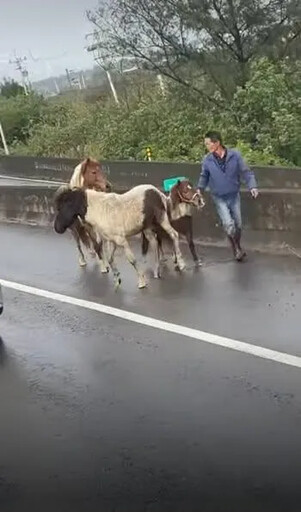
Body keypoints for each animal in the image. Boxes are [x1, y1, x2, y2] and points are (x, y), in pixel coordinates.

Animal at [53, 184, 185, 290]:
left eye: (62, 207)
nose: (57, 228)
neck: (101, 210)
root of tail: (158, 192)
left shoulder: (121, 240)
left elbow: (132, 260)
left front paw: (142, 282)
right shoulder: (112, 241)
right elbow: (110, 259)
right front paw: (117, 280)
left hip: (162, 219)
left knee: (173, 235)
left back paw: (181, 264)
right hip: (147, 228)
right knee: (155, 243)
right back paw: (157, 272)